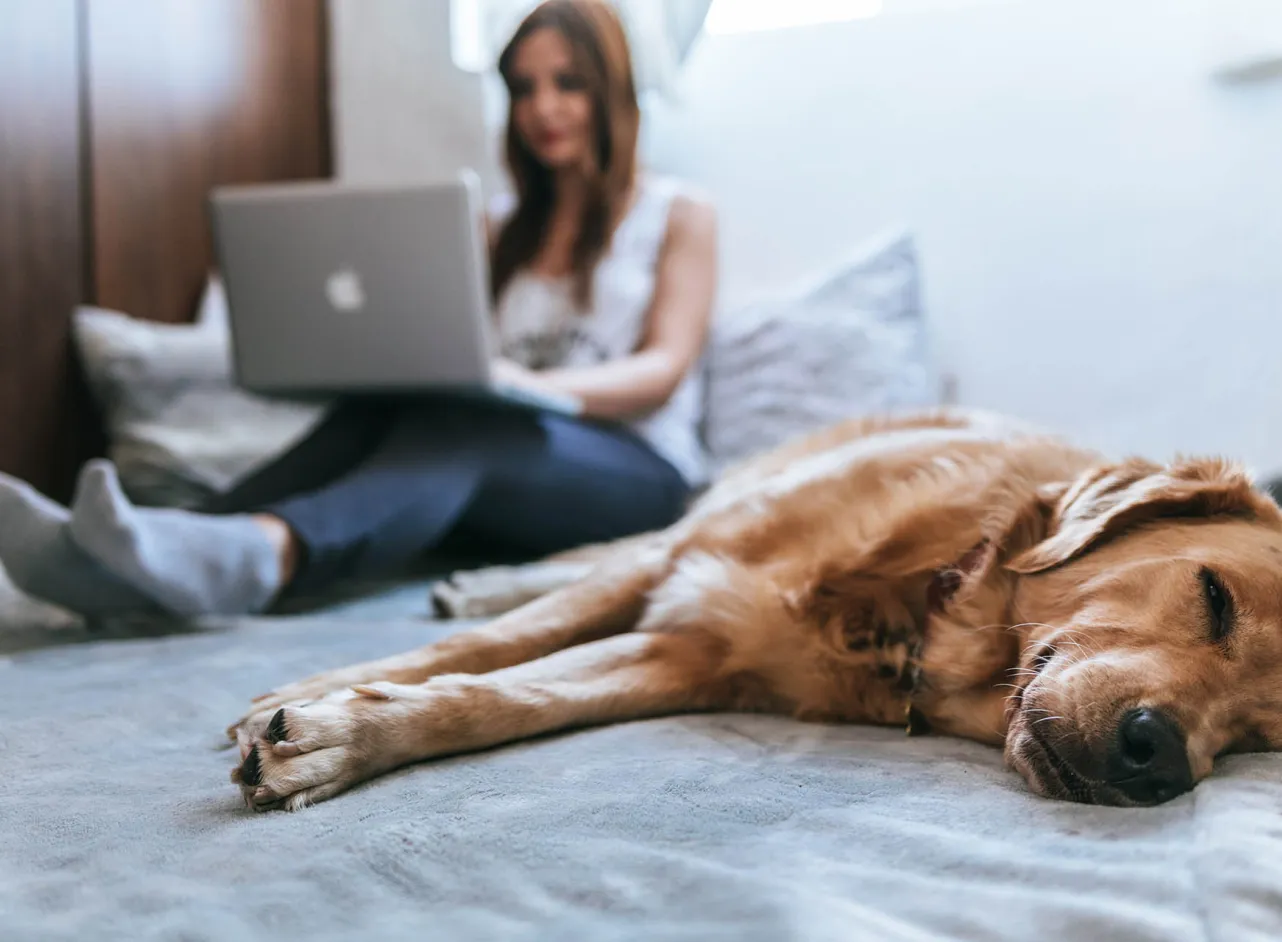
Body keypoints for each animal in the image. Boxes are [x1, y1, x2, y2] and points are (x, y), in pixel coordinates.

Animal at [225, 410, 1282, 815]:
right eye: (1212, 596)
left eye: (1261, 737)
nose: (1159, 759)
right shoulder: (680, 567)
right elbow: (501, 643)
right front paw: (318, 694)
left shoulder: (683, 656)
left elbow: (504, 698)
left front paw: (341, 737)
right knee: (584, 561)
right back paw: (479, 579)